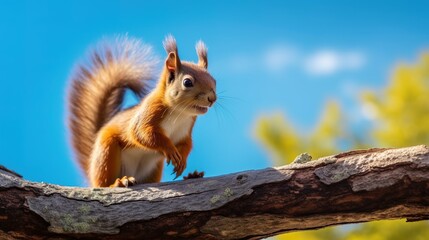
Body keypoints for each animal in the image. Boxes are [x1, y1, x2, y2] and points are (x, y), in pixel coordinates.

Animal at [68, 34, 216, 187]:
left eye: (214, 80)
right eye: (187, 82)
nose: (212, 98)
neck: (180, 113)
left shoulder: (185, 131)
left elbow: (186, 144)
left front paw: (182, 161)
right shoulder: (151, 110)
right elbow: (142, 133)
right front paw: (169, 148)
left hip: (153, 169)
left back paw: (193, 176)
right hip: (106, 152)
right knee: (103, 183)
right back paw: (118, 182)